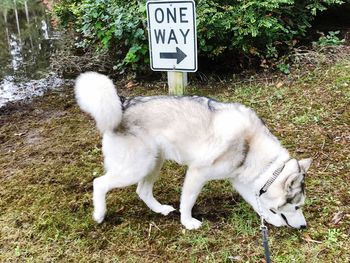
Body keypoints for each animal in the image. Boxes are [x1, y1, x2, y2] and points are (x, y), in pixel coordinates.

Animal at [75, 72, 314, 231]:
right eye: (297, 206)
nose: (303, 226)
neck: (252, 149)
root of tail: (123, 104)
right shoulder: (197, 173)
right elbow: (187, 202)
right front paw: (188, 222)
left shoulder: (241, 182)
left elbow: (258, 204)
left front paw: (272, 220)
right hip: (136, 168)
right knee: (99, 183)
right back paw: (99, 214)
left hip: (153, 163)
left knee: (142, 191)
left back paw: (161, 209)